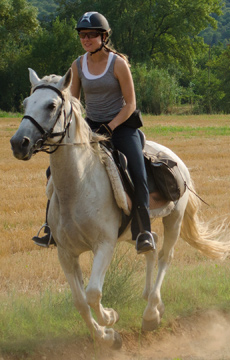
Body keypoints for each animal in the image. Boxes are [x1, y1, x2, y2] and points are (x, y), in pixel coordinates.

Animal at [10, 67, 230, 348]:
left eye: (51, 105)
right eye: (26, 103)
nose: (19, 143)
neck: (78, 186)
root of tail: (175, 158)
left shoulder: (104, 244)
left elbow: (93, 293)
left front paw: (110, 319)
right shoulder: (66, 253)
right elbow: (80, 301)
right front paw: (105, 336)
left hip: (174, 219)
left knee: (164, 256)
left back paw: (151, 314)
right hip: (135, 230)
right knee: (150, 244)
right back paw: (152, 302)